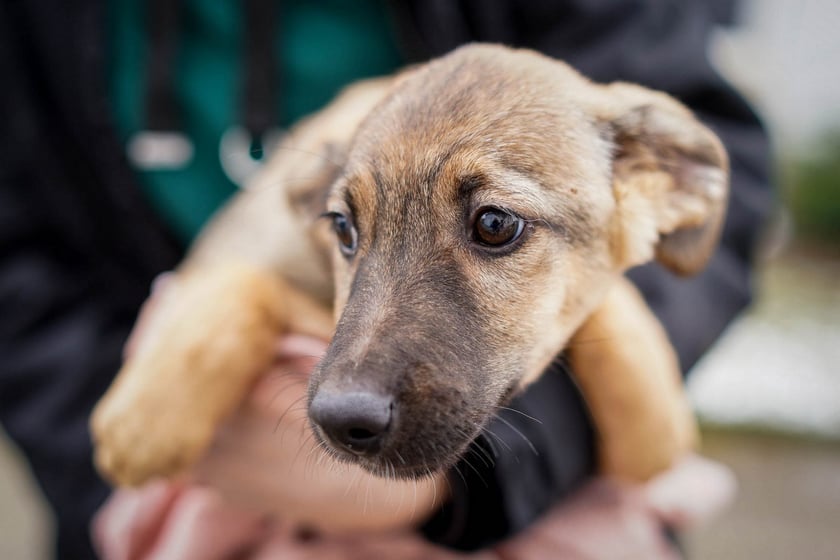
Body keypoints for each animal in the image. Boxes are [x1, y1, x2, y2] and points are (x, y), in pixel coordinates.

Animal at [90, 44, 720, 498]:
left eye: (495, 224)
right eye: (343, 229)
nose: (343, 422)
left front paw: (654, 419)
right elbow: (245, 280)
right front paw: (146, 419)